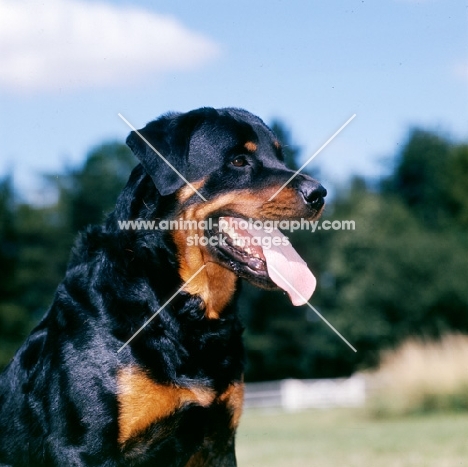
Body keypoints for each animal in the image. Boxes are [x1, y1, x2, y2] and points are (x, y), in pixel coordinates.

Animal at [0, 108, 326, 466]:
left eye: (281, 157)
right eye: (239, 161)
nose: (319, 193)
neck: (179, 309)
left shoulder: (218, 441)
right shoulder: (85, 448)